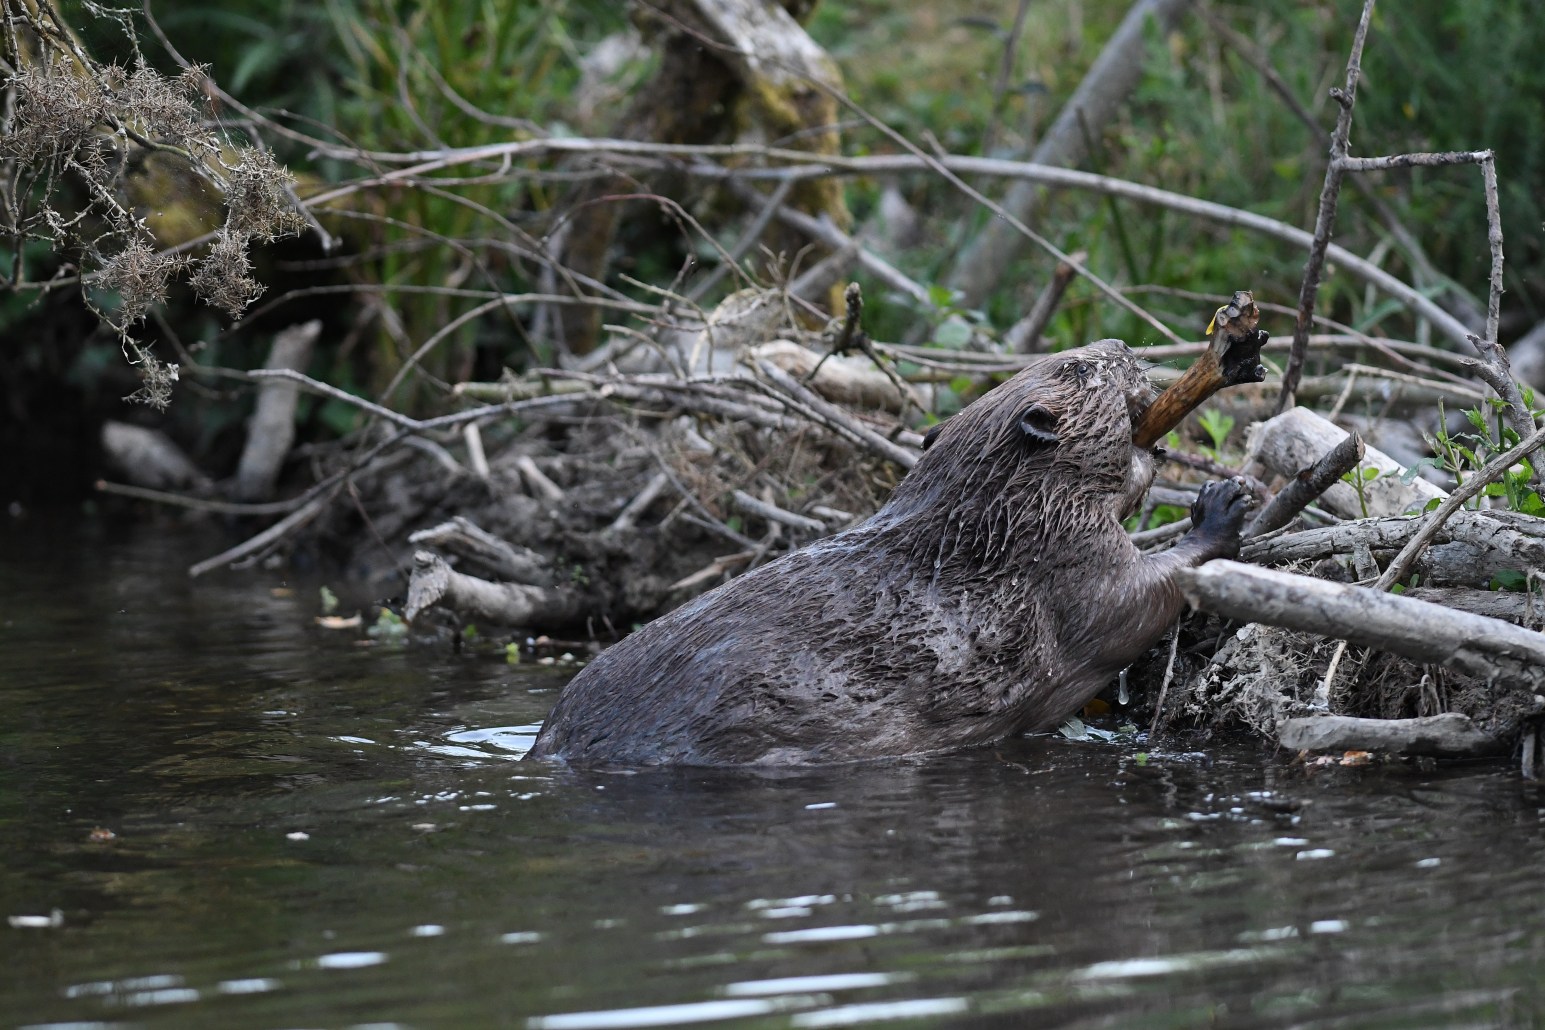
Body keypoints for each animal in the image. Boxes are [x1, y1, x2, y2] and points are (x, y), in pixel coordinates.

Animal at [525, 338, 1248, 765]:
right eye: (1080, 369)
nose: (1120, 344)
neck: (990, 519)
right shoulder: (1063, 557)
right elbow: (1130, 605)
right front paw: (1220, 503)